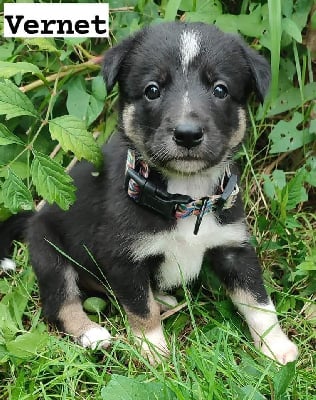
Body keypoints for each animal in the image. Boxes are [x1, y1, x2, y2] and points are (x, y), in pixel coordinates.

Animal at [0, 22, 298, 366]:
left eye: (220, 89)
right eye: (152, 90)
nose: (187, 134)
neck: (186, 197)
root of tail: (32, 216)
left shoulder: (233, 247)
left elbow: (258, 302)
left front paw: (277, 346)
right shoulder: (124, 258)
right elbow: (141, 310)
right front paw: (153, 352)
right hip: (49, 253)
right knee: (61, 303)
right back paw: (92, 334)